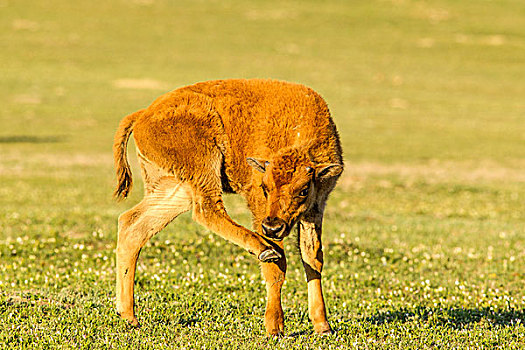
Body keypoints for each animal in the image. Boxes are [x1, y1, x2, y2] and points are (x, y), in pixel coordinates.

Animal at [113, 78, 344, 334]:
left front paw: (323, 325)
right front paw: (274, 327)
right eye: (265, 187)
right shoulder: (259, 206)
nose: (272, 228)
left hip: (176, 189)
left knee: (133, 226)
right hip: (204, 164)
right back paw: (262, 248)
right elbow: (278, 267)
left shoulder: (315, 209)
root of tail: (144, 114)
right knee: (207, 210)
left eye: (303, 190)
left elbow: (313, 259)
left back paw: (128, 316)